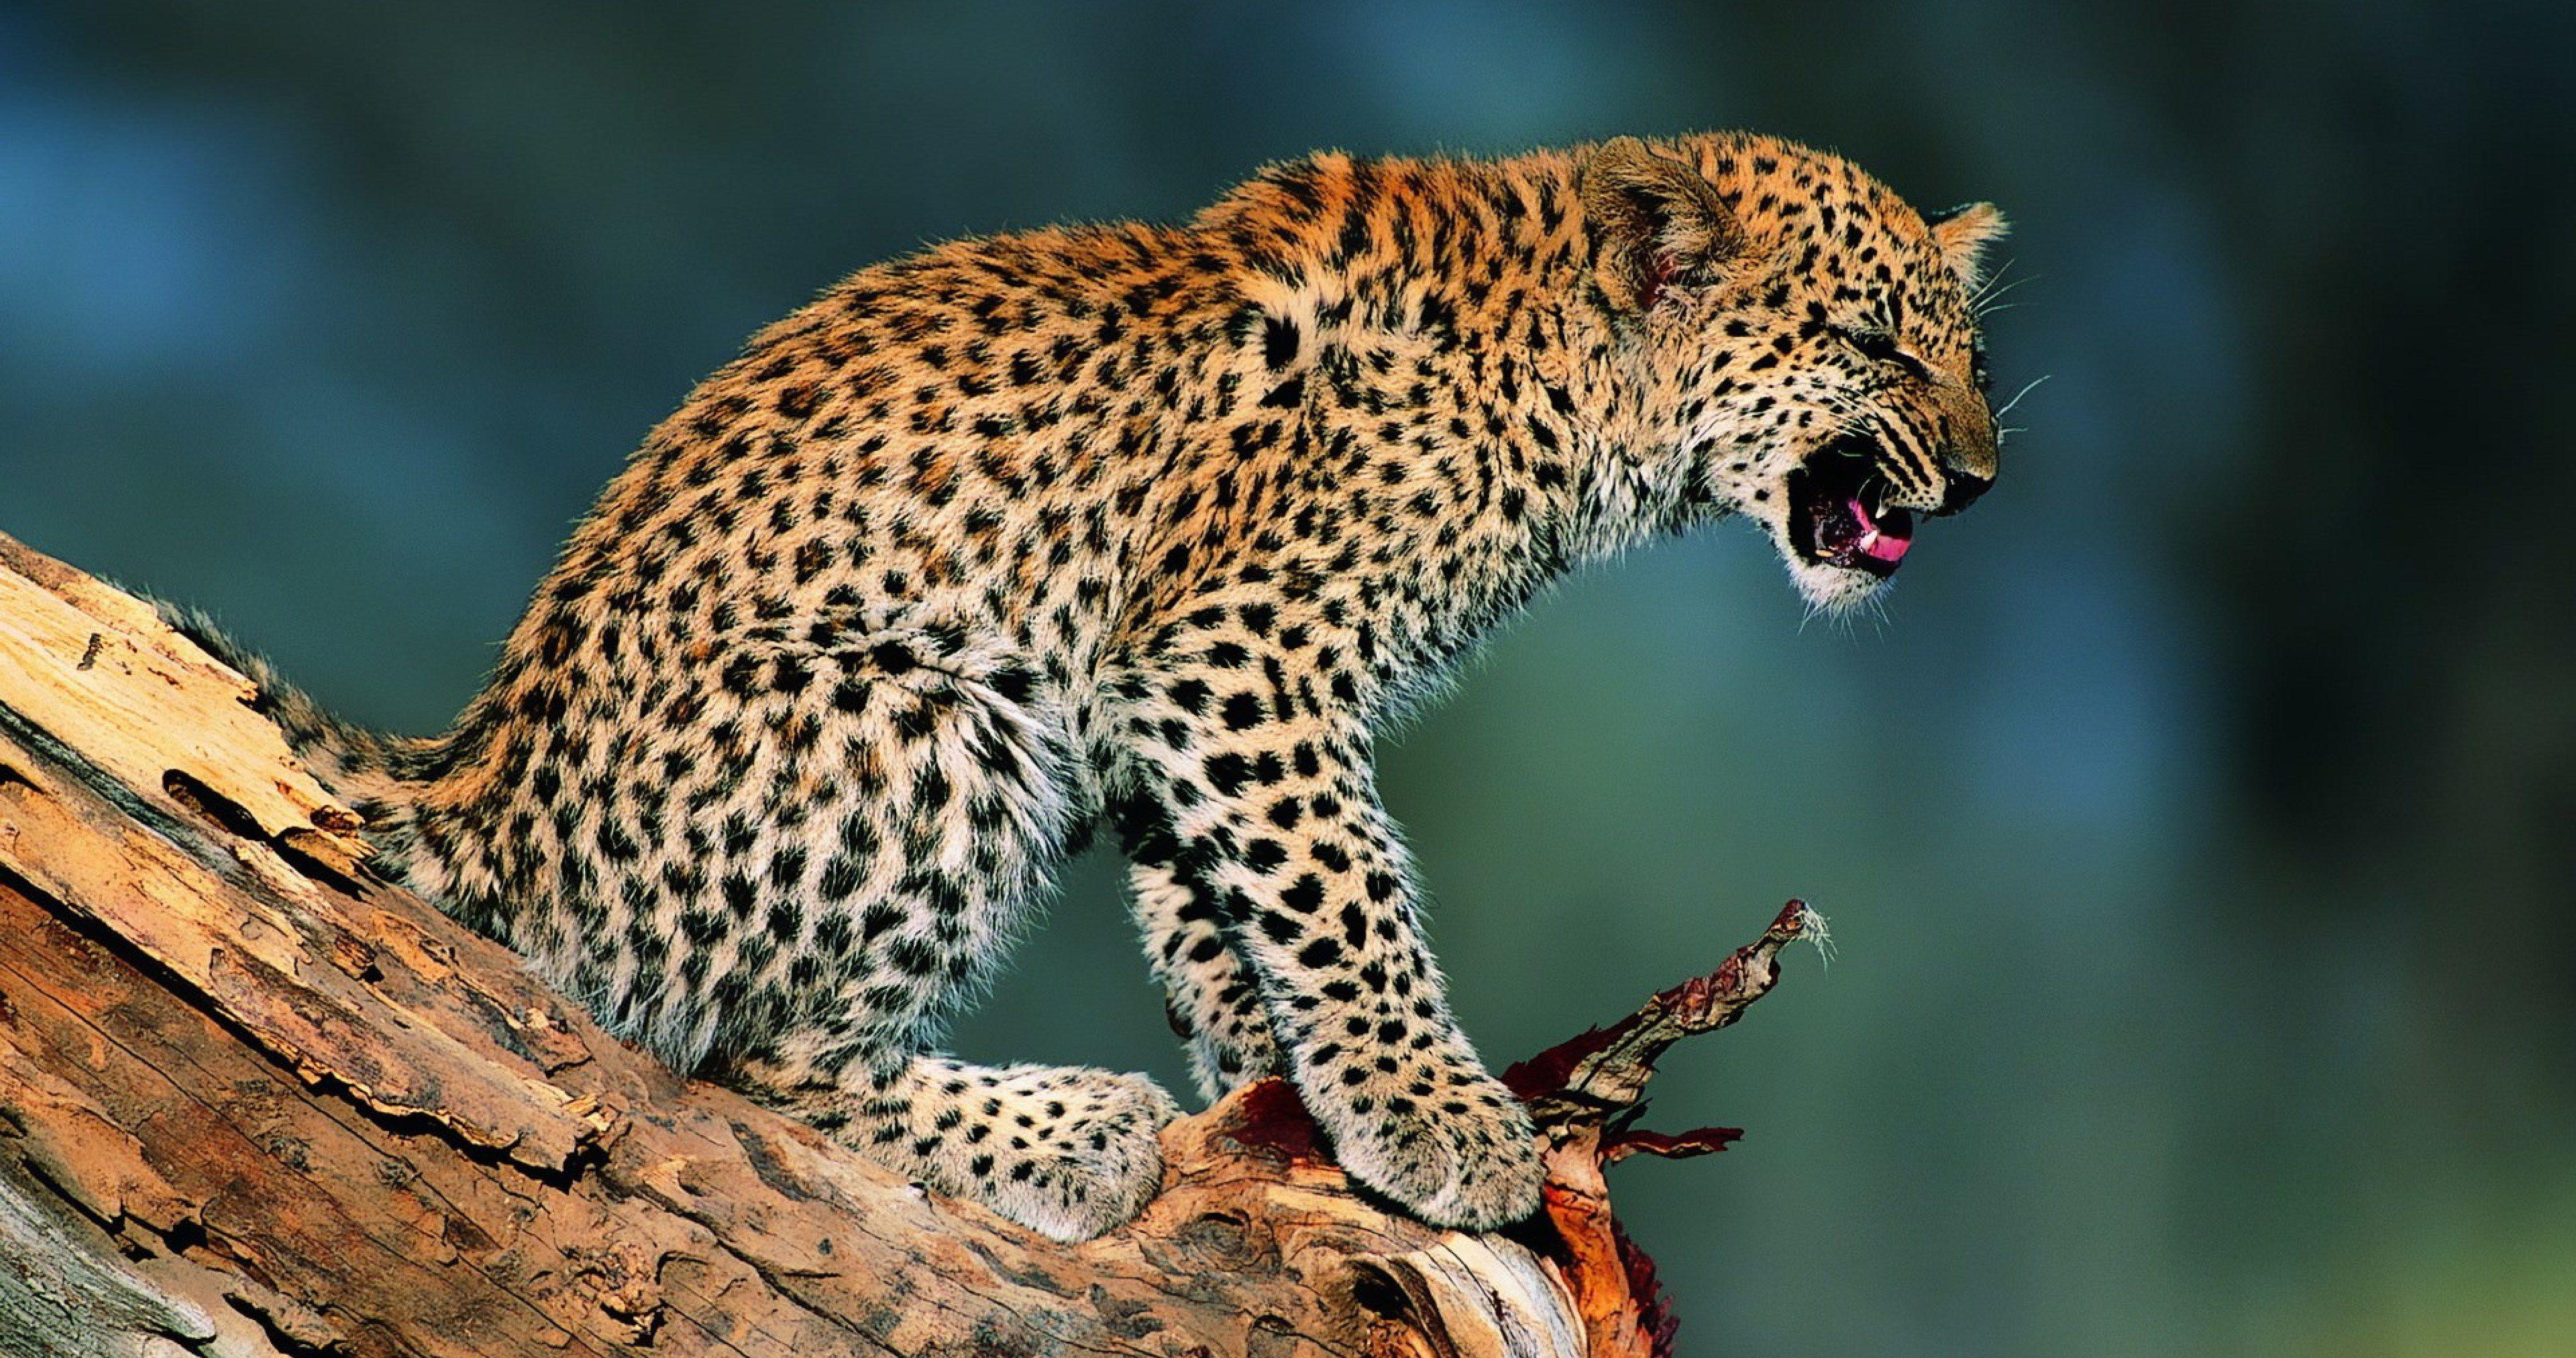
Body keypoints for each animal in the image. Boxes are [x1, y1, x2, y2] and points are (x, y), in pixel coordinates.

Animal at [166, 133, 2007, 1242]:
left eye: (1968, 350)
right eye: (1876, 344)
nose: (1985, 478)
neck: (1580, 395)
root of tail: (465, 773)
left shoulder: (1164, 703)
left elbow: (1229, 901)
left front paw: (1274, 1081)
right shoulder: (1236, 648)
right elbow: (1347, 893)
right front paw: (1434, 1114)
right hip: (931, 726)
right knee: (743, 1051)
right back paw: (1068, 1128)